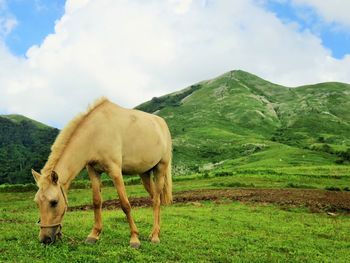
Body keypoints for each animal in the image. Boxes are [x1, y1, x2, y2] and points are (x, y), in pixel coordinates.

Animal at [31, 98, 172, 249]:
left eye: (54, 202)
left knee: (156, 201)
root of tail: (162, 124)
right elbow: (97, 202)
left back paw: (155, 236)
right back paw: (154, 232)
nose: (45, 239)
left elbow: (125, 204)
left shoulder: (115, 171)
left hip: (160, 169)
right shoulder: (93, 171)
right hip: (144, 174)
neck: (96, 133)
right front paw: (94, 235)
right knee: (154, 198)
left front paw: (134, 238)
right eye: (37, 202)